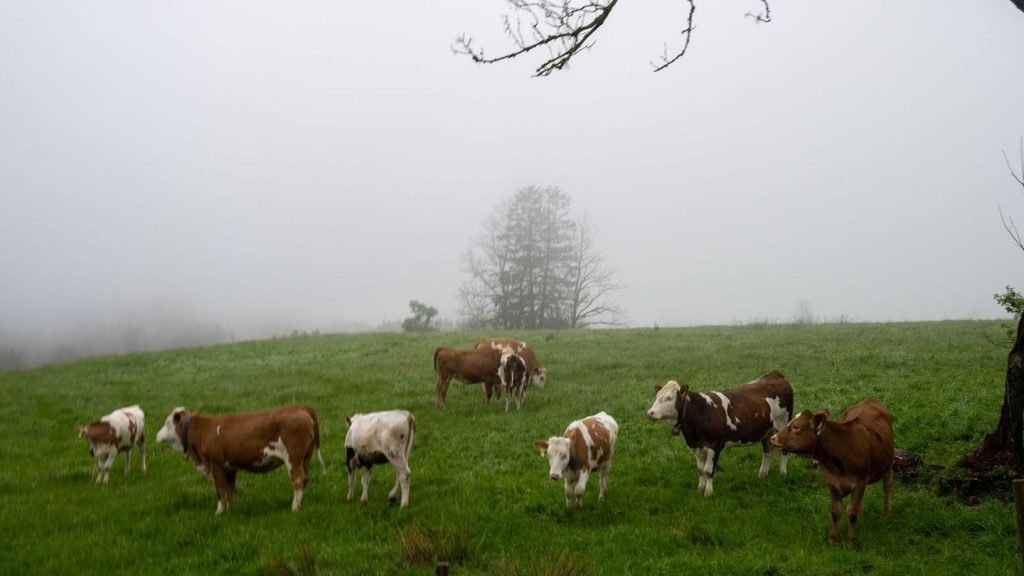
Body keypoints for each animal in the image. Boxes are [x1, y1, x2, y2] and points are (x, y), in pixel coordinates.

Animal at [152, 401, 323, 512]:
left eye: (167, 423)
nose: (157, 435)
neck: (203, 431)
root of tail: (301, 407)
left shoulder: (216, 465)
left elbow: (220, 491)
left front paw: (219, 512)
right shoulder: (229, 468)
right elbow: (230, 490)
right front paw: (232, 509)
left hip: (293, 459)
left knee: (298, 480)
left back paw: (294, 508)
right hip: (305, 458)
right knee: (305, 478)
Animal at [643, 368, 794, 496]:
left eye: (669, 398)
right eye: (657, 396)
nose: (650, 412)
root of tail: (774, 374)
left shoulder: (714, 445)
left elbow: (708, 471)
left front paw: (708, 493)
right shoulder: (696, 447)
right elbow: (700, 470)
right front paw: (700, 489)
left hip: (783, 423)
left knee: (783, 449)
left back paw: (782, 473)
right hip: (767, 430)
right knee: (768, 449)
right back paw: (762, 474)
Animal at [770, 397, 892, 541]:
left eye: (796, 427)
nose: (773, 438)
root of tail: (868, 399)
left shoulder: (860, 481)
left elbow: (851, 513)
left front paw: (851, 539)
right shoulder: (832, 482)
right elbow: (836, 511)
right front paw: (833, 537)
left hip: (889, 464)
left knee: (887, 486)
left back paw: (886, 513)